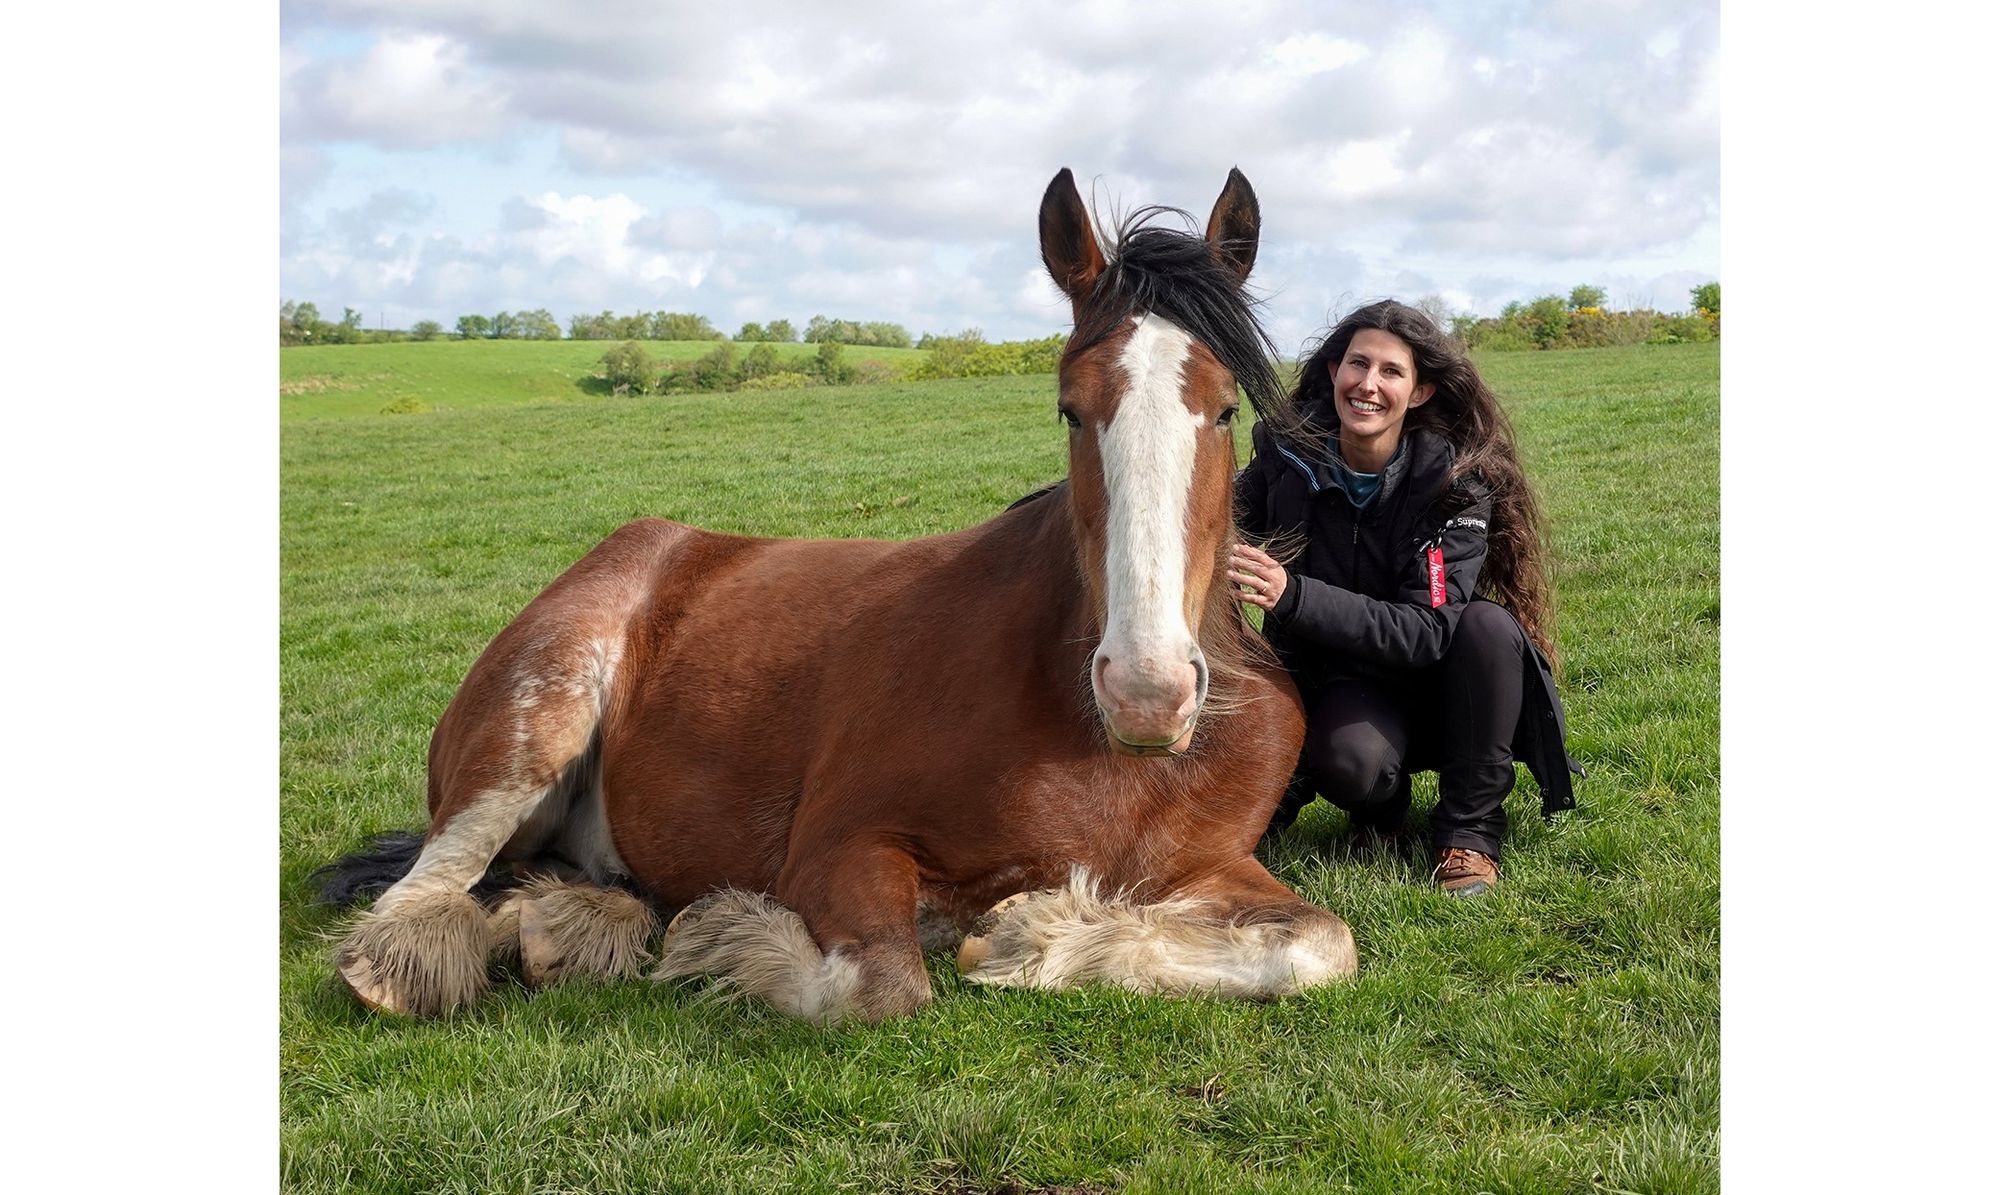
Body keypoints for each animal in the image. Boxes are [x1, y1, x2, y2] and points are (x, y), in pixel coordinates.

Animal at [325, 167, 1357, 1023]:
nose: (1148, 691)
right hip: (533, 722)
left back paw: (565, 923)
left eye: (1225, 408)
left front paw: (1036, 933)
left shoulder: (1212, 867)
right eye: (1071, 408)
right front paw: (725, 934)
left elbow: (1320, 945)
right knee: (421, 896)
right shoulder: (839, 849)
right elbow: (880, 982)